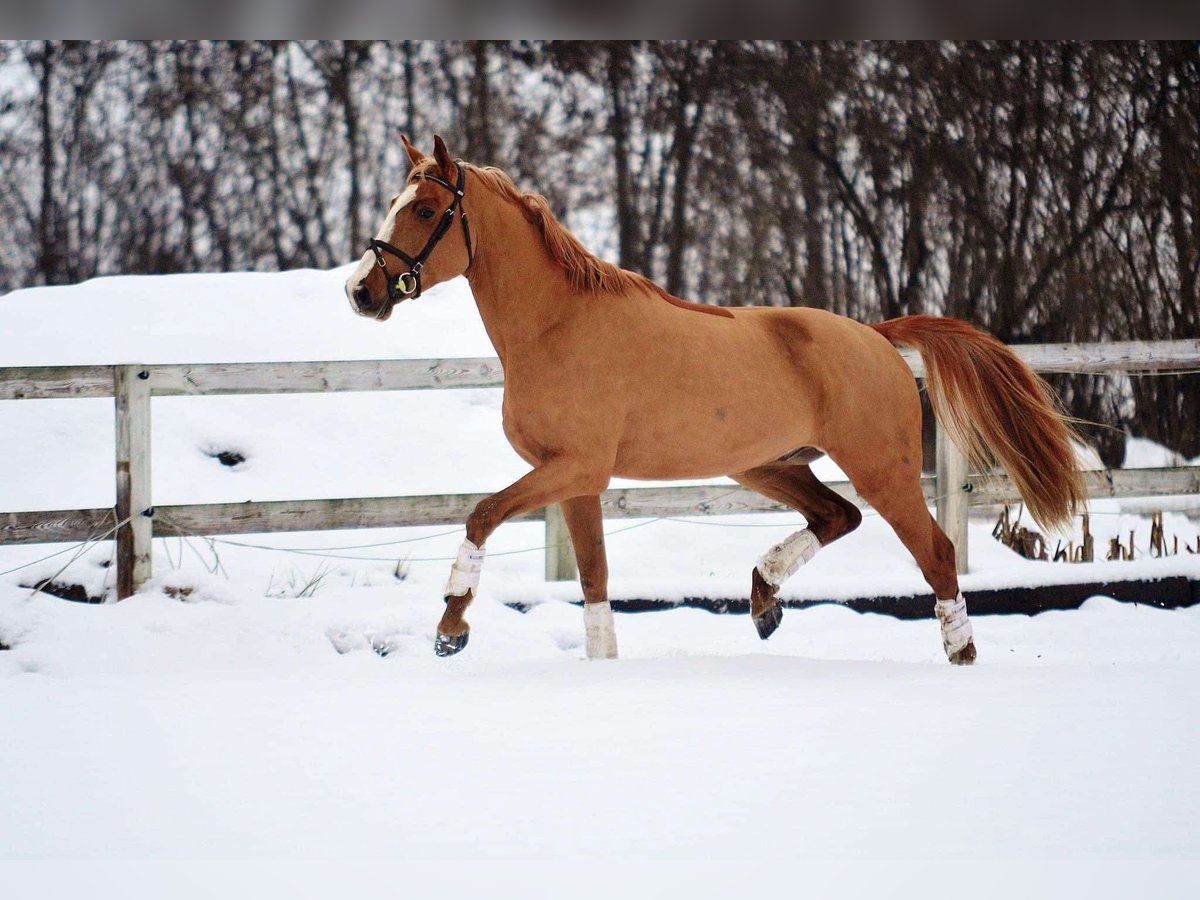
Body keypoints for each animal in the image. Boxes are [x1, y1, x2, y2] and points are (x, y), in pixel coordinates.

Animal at [343, 137, 1084, 667]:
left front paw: (450, 629)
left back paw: (960, 652)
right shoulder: (578, 482)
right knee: (837, 515)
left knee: (934, 550)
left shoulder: (574, 468)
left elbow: (482, 514)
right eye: (394, 202)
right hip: (765, 464)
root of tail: (876, 336)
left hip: (883, 469)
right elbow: (593, 577)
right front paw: (600, 664)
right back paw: (763, 600)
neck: (557, 326)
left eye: (426, 210)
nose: (360, 292)